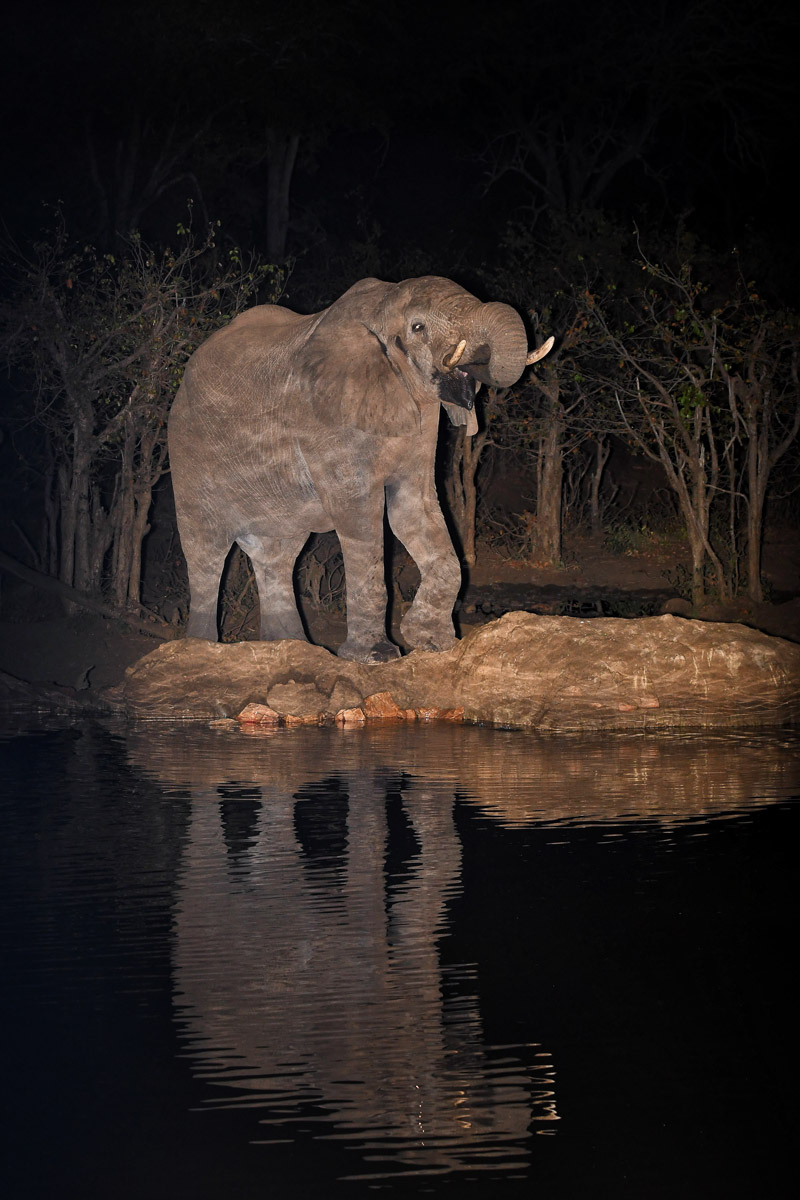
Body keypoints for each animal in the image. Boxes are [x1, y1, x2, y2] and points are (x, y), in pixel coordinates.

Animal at [167, 275, 553, 663]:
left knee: (277, 554)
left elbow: (416, 508)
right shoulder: (327, 422)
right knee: (206, 552)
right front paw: (376, 656)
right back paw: (198, 649)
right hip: (188, 455)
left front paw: (431, 641)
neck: (381, 305)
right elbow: (360, 517)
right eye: (418, 328)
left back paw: (292, 648)